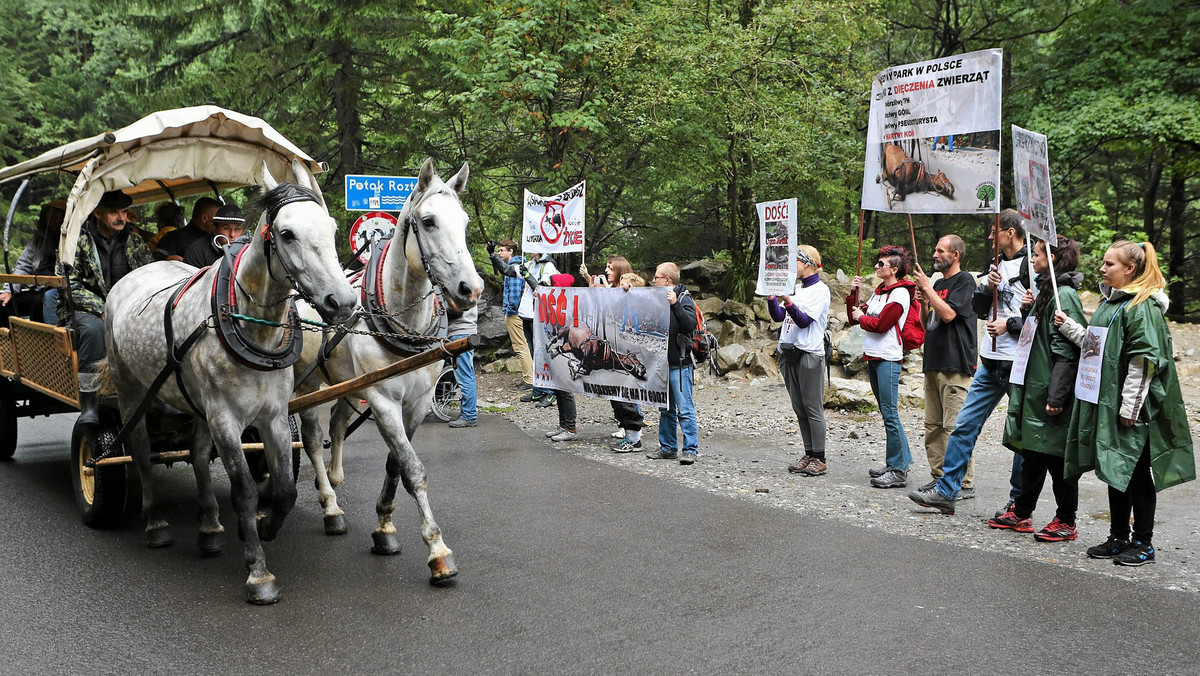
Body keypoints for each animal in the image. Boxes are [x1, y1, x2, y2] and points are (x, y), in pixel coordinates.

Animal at [103, 160, 357, 605]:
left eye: (330, 227)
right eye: (287, 233)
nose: (341, 302)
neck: (251, 327)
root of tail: (130, 277)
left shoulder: (273, 416)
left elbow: (285, 489)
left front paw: (261, 526)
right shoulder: (225, 418)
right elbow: (245, 490)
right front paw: (258, 572)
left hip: (197, 402)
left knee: (197, 451)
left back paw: (208, 527)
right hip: (131, 388)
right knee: (140, 449)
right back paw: (155, 523)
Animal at [294, 158, 482, 588]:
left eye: (464, 221)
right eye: (428, 221)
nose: (472, 289)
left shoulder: (417, 403)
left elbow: (397, 462)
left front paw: (384, 527)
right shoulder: (382, 401)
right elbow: (413, 469)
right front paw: (438, 552)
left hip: (346, 383)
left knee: (337, 424)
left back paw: (335, 478)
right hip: (308, 384)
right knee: (311, 439)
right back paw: (330, 505)